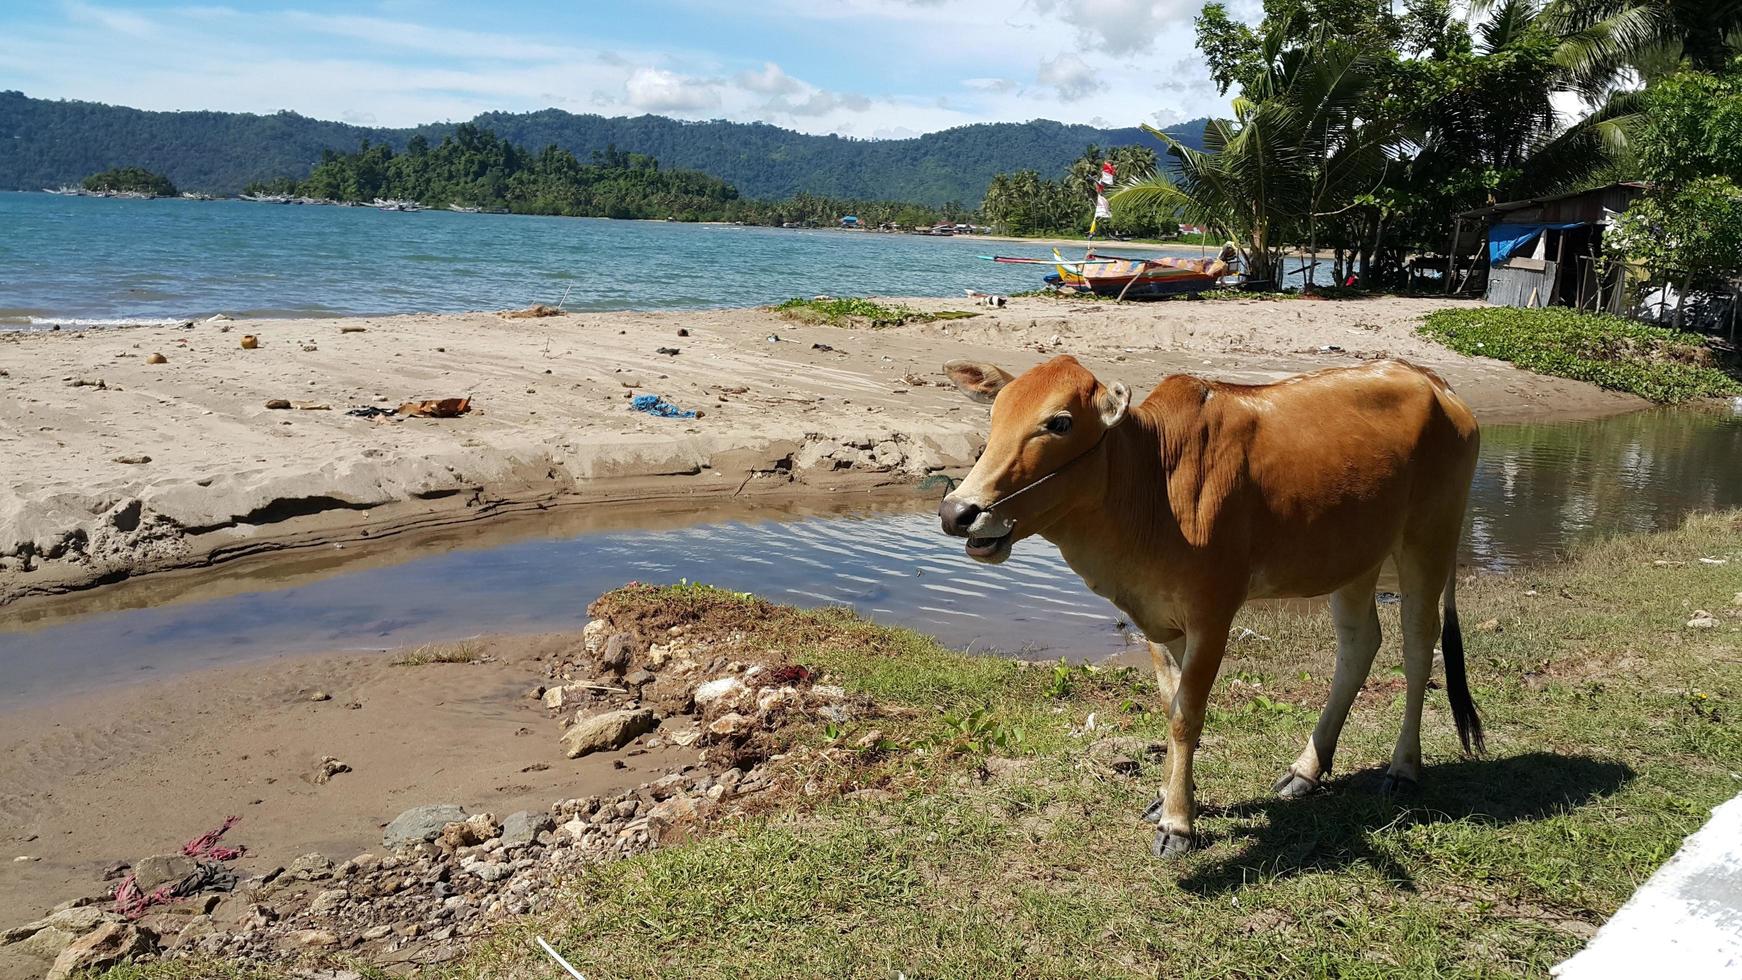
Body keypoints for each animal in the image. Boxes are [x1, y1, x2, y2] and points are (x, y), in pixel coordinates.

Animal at [940, 356, 1484, 856]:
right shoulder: (1158, 622)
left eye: (1059, 423)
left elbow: (1187, 716)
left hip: (1428, 539)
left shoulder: (1212, 615)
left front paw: (1177, 824)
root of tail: (1434, 381)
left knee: (1418, 647)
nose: (958, 511)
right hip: (1356, 558)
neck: (1153, 482)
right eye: (995, 414)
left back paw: (1403, 767)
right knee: (1358, 646)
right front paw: (1169, 798)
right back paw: (1306, 770)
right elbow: (1172, 703)